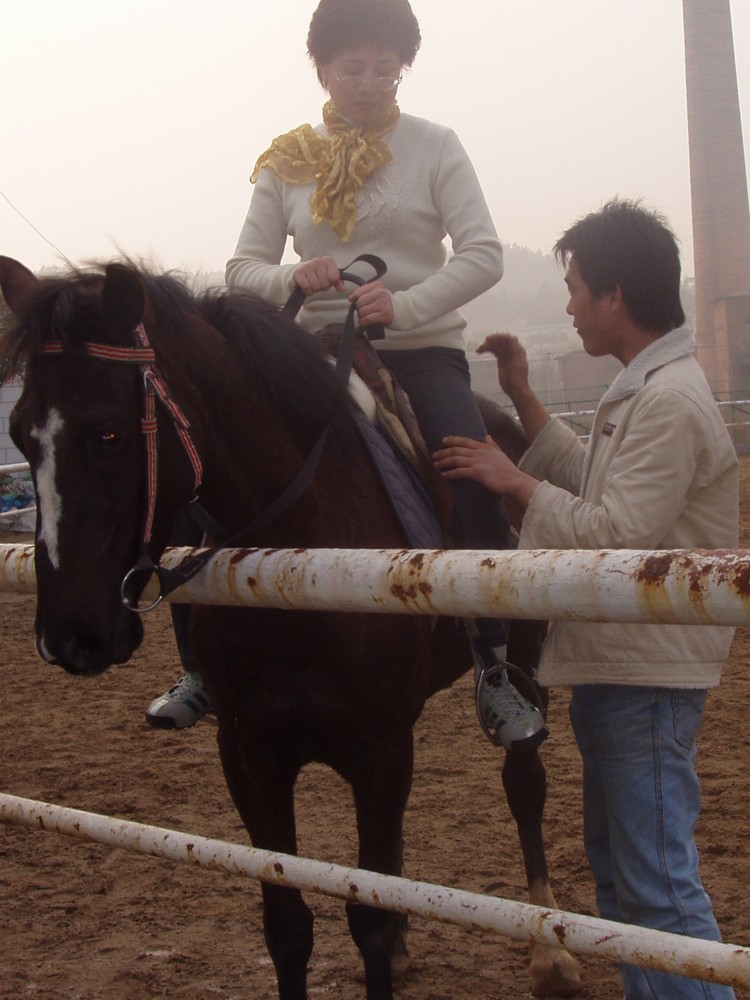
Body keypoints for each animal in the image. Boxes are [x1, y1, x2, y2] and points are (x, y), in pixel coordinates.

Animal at [0, 258, 580, 1000]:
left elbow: (370, 917)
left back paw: (551, 954)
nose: (70, 636)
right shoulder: (251, 755)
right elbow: (288, 924)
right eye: (20, 434)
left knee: (523, 787)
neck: (300, 562)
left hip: (525, 671)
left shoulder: (379, 753)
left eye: (107, 432)